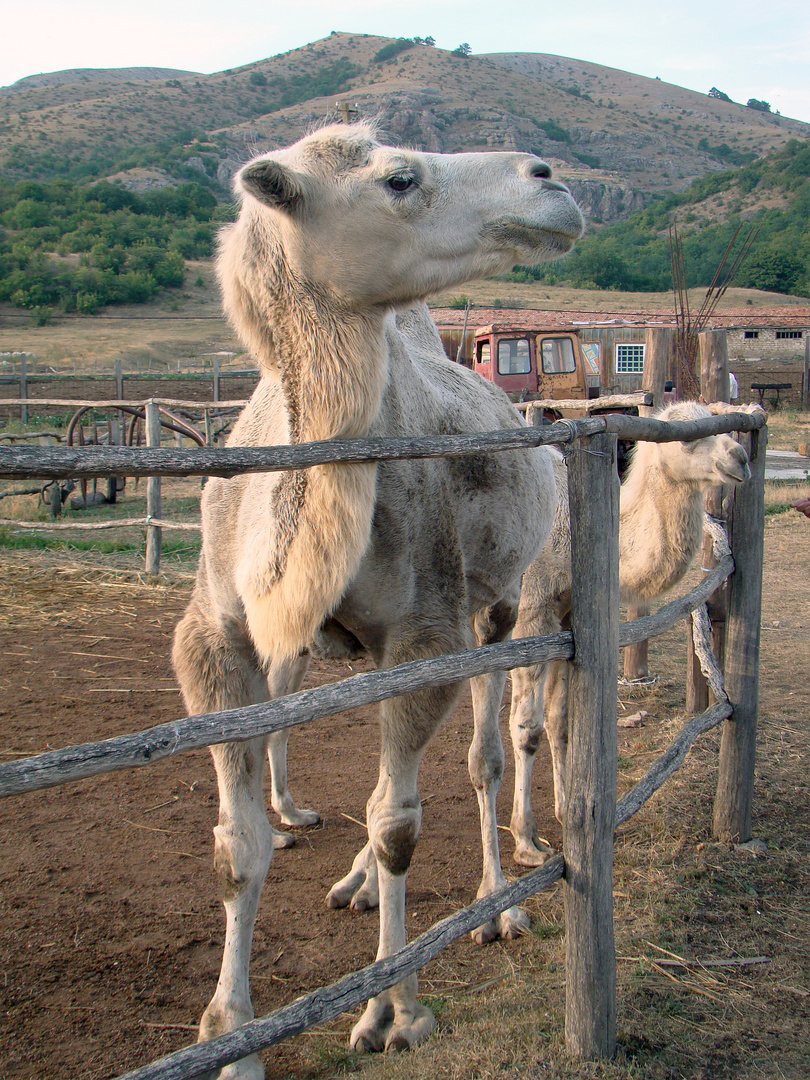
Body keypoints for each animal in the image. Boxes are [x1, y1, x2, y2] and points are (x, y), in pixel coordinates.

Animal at [174, 120, 587, 1071]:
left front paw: (392, 1012)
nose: (550, 181)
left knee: (483, 756)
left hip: (498, 608)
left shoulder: (427, 632)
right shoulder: (218, 641)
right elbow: (235, 848)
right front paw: (230, 1038)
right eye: (399, 178)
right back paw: (356, 882)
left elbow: (401, 822)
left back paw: (498, 905)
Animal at [509, 401, 760, 864]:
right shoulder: (532, 613)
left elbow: (560, 719)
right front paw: (526, 842)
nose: (740, 458)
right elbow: (527, 728)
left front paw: (564, 808)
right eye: (687, 436)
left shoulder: (567, 617)